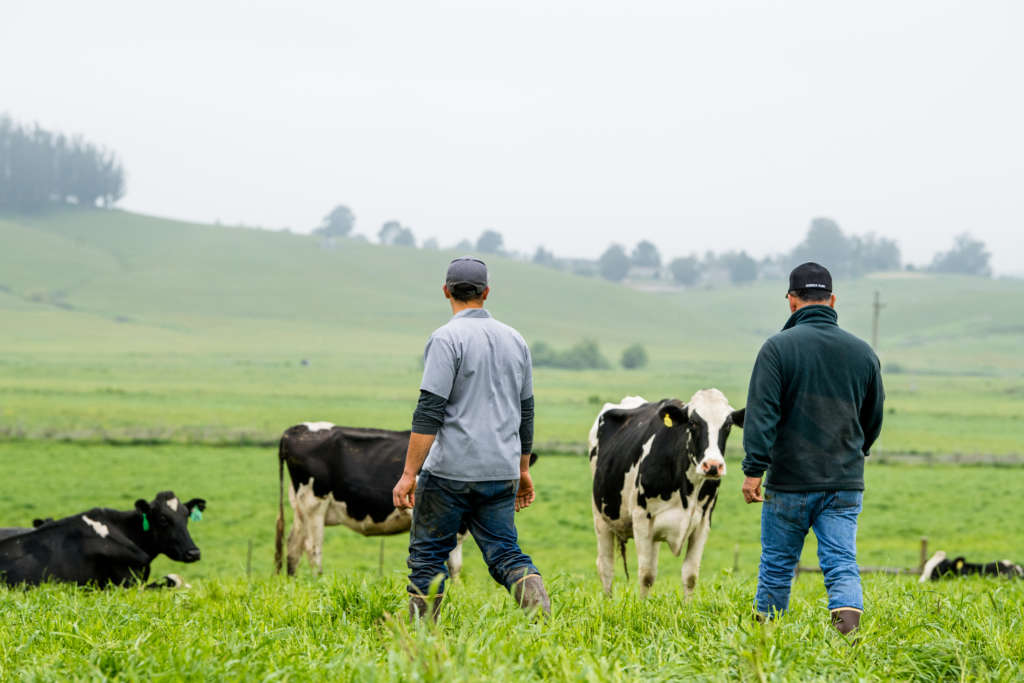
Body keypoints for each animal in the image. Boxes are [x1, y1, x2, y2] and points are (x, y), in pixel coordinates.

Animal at [276, 421, 475, 577]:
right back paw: (318, 582)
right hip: (314, 504)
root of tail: (292, 431)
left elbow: (455, 565)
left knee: (293, 546)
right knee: (312, 548)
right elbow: (452, 562)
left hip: (300, 508)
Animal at [589, 389, 749, 598]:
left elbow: (690, 575)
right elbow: (646, 575)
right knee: (606, 567)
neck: (688, 490)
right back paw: (608, 600)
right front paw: (643, 605)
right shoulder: (641, 519)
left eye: (728, 424)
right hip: (601, 516)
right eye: (693, 422)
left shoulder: (703, 522)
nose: (713, 465)